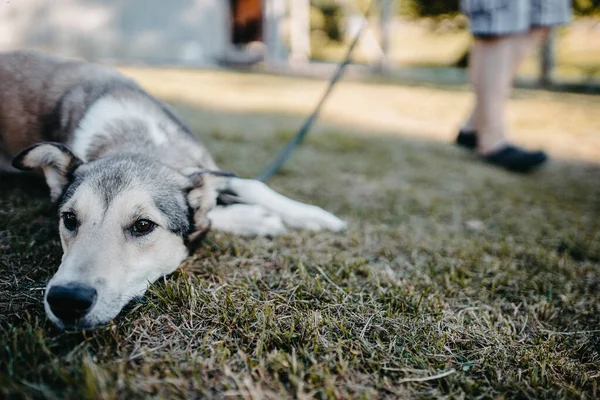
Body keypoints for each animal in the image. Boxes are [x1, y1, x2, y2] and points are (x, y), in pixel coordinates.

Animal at [0, 50, 346, 332]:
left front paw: (315, 217)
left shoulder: (208, 168)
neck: (140, 143)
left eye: (143, 225)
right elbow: (213, 213)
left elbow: (250, 183)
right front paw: (255, 219)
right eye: (69, 219)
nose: (67, 299)